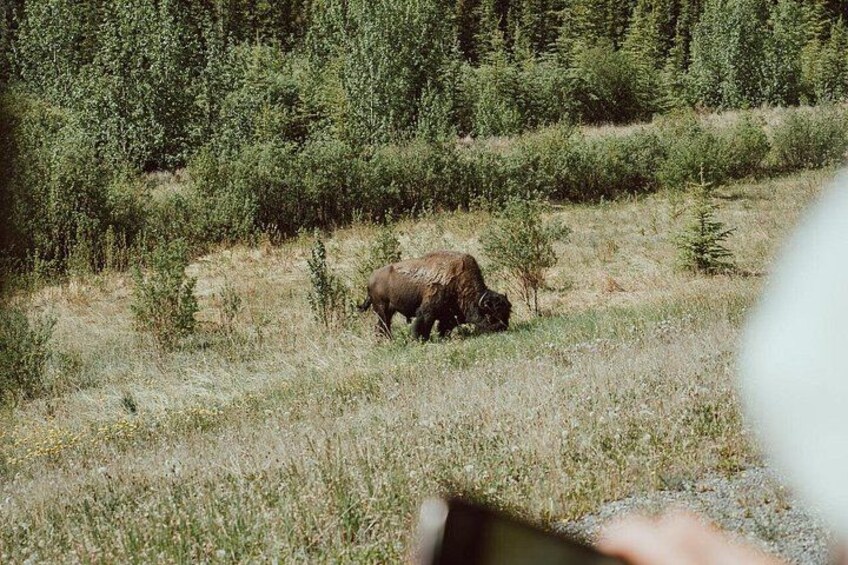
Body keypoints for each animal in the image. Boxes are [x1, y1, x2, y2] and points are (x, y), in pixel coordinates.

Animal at [358, 251, 512, 340]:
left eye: (507, 314)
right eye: (491, 316)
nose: (502, 328)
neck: (459, 282)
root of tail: (370, 279)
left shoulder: (449, 315)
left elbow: (443, 327)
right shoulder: (427, 311)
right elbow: (423, 324)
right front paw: (420, 339)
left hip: (388, 311)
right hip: (382, 309)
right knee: (383, 325)